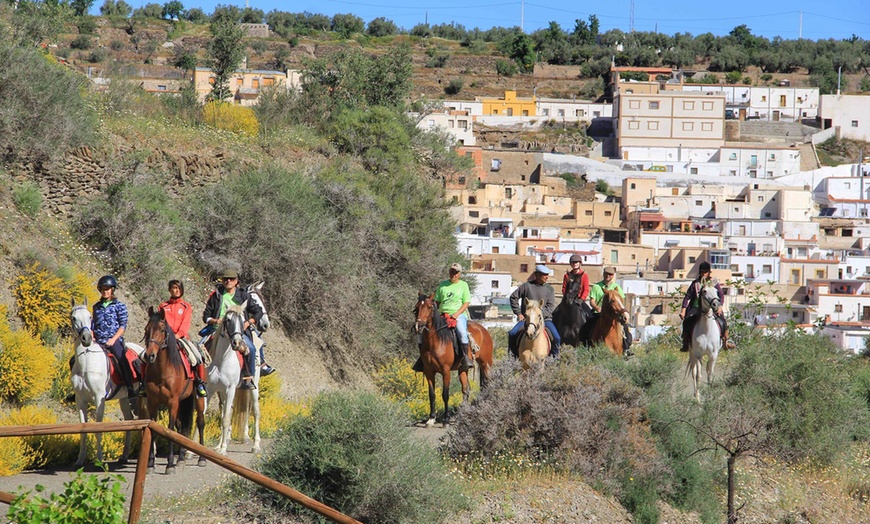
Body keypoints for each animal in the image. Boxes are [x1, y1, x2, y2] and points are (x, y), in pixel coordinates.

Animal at [69, 298, 143, 466]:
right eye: (74, 318)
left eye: (90, 316)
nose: (86, 338)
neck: (87, 364)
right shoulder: (80, 400)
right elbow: (83, 430)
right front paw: (80, 460)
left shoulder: (99, 399)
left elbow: (99, 429)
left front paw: (99, 459)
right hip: (124, 398)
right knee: (129, 420)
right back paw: (124, 456)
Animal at [142, 304, 207, 472]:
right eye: (146, 329)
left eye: (162, 329)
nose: (150, 356)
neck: (162, 370)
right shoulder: (152, 403)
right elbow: (155, 429)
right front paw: (150, 464)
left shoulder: (172, 401)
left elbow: (169, 430)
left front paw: (170, 464)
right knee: (181, 426)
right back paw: (181, 458)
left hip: (198, 399)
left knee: (200, 422)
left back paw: (202, 458)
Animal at [206, 302, 260, 454]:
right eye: (228, 320)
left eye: (243, 321)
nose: (237, 343)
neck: (221, 360)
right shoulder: (212, 388)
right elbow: (222, 416)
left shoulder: (230, 389)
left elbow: (226, 418)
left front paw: (224, 449)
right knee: (226, 411)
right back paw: (219, 445)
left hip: (254, 387)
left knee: (255, 411)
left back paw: (256, 445)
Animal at [414, 294, 494, 426]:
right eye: (416, 308)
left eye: (429, 307)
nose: (418, 326)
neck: (435, 341)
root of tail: (483, 330)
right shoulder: (429, 372)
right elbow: (432, 394)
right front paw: (431, 418)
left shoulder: (446, 371)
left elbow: (445, 394)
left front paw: (446, 419)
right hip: (463, 369)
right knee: (466, 389)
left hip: (486, 364)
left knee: (487, 384)